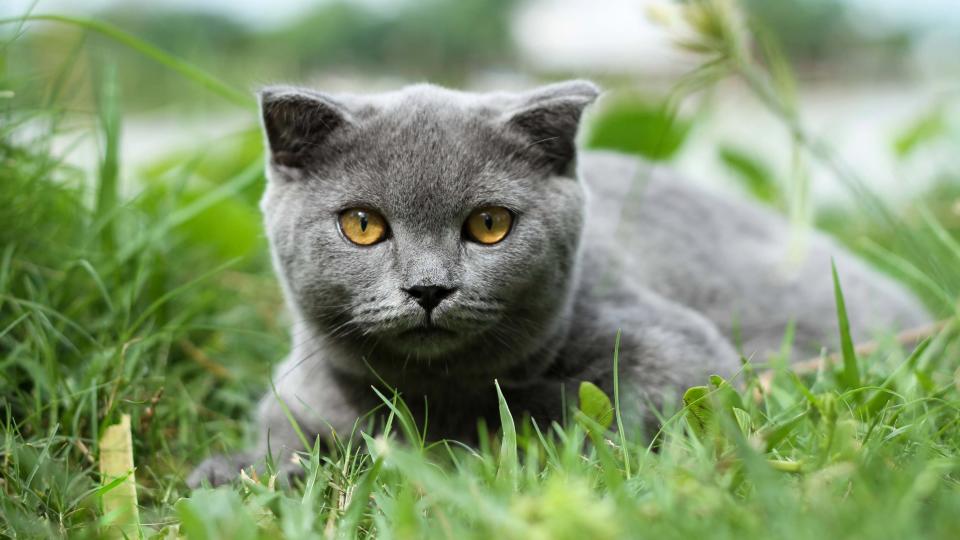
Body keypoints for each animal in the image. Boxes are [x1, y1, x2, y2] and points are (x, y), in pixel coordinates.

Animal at [184, 82, 928, 488]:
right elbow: (288, 431)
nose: (429, 289)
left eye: (489, 224)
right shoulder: (299, 389)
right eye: (362, 225)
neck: (430, 390)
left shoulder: (680, 348)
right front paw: (244, 469)